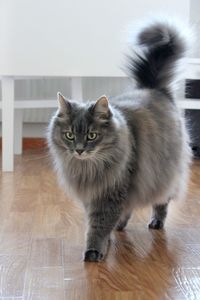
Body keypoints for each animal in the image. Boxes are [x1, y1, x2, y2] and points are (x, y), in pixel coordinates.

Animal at [47, 19, 192, 262]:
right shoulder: (96, 194)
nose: (79, 150)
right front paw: (105, 243)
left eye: (91, 136)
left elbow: (98, 225)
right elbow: (99, 221)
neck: (88, 168)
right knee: (128, 208)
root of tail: (155, 89)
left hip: (164, 173)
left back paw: (156, 222)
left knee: (162, 201)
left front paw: (94, 251)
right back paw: (120, 226)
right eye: (69, 135)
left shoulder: (111, 192)